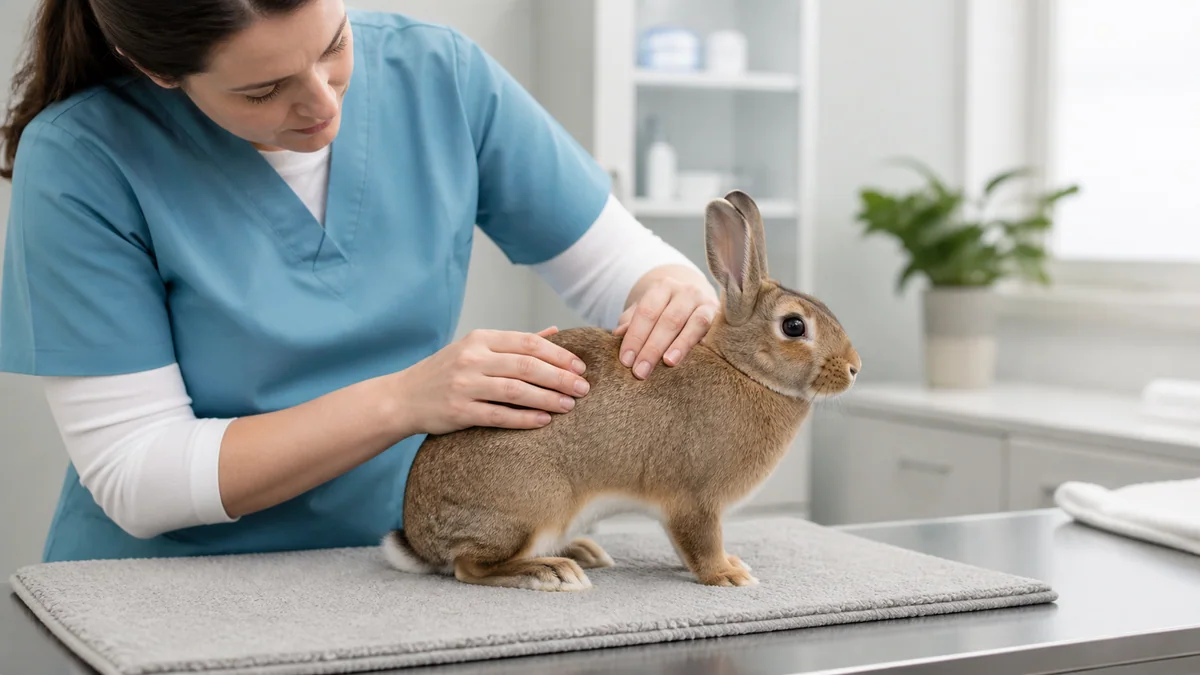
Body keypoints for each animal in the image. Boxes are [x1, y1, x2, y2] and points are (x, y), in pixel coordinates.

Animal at [381, 190, 861, 592]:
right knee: (470, 566)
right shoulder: (696, 500)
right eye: (794, 326)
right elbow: (701, 542)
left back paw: (580, 551)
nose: (855, 368)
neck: (741, 368)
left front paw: (730, 566)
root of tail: (420, 540)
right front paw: (728, 575)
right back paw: (552, 571)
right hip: (535, 504)